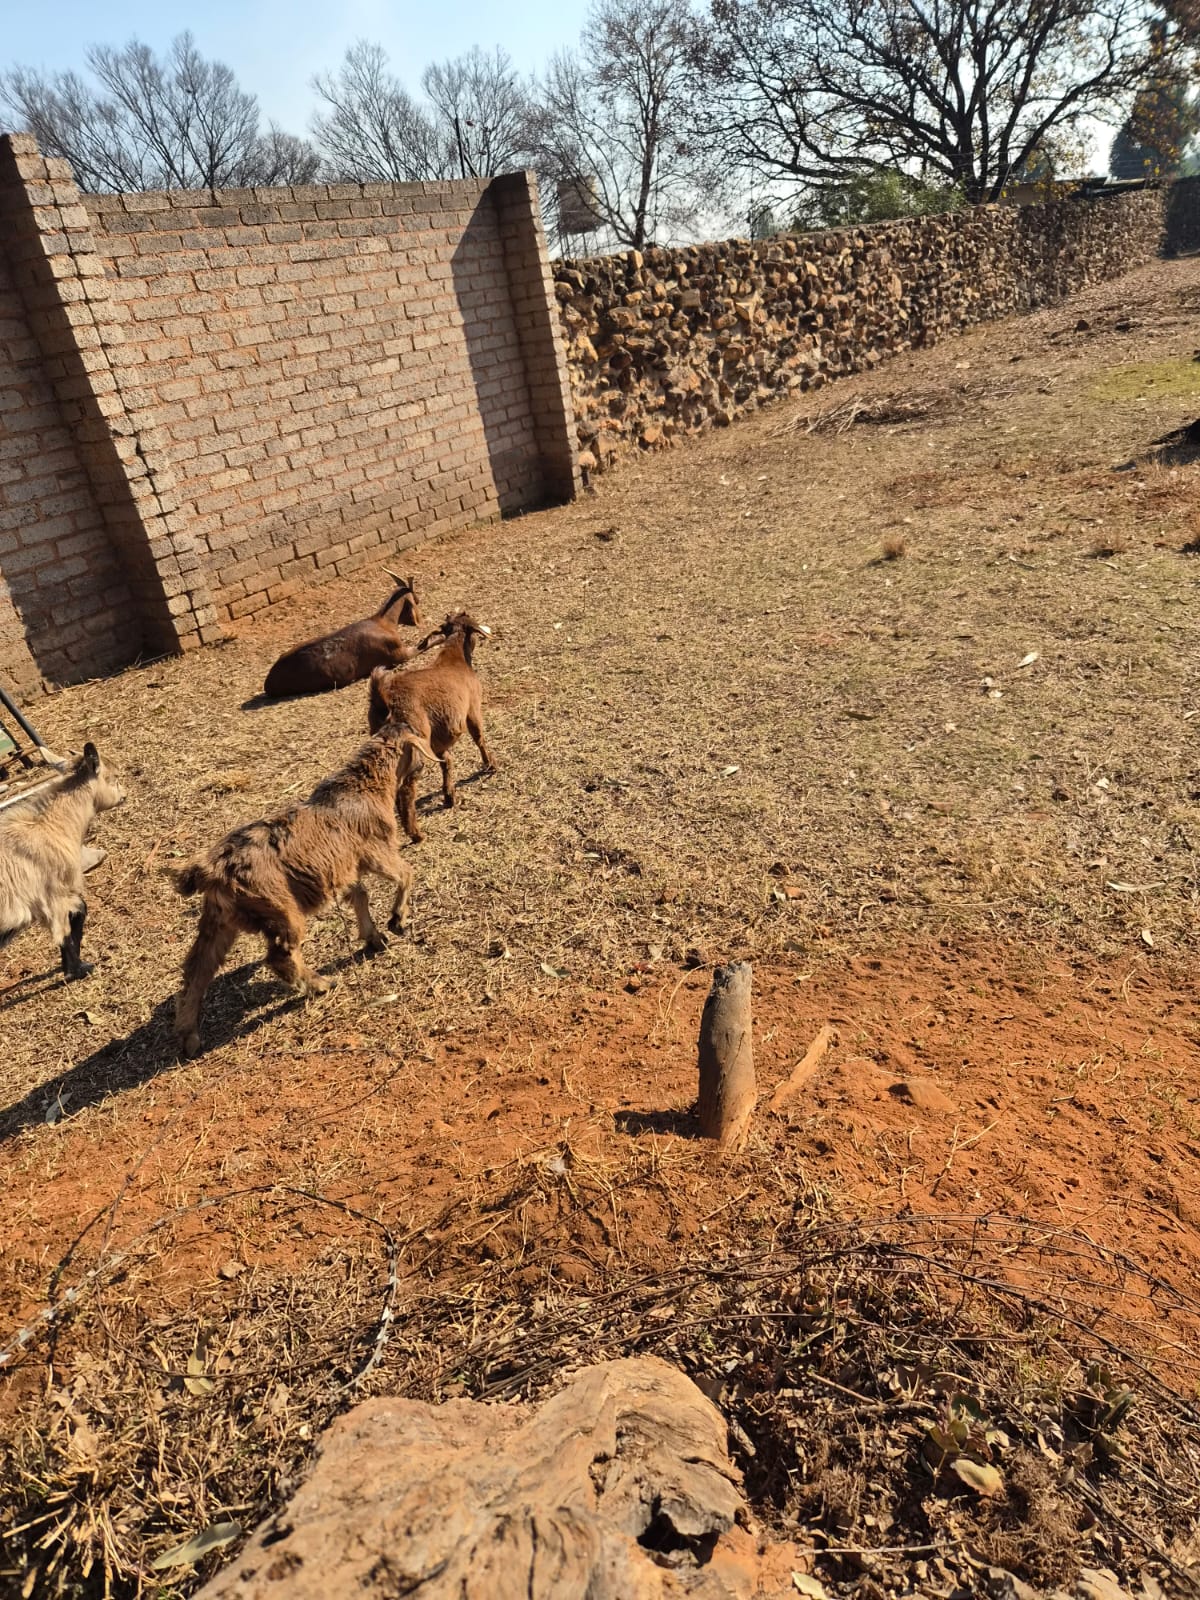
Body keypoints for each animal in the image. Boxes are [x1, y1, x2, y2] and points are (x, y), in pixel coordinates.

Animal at [0, 743, 126, 980]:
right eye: (113, 777)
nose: (124, 794)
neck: (50, 828)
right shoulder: (53, 896)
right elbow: (68, 926)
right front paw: (77, 969)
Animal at [173, 723, 432, 1057]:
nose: (423, 767)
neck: (365, 787)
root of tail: (212, 869)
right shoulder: (376, 852)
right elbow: (405, 873)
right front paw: (397, 920)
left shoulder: (345, 869)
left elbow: (360, 896)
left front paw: (375, 938)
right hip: (281, 910)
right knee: (280, 957)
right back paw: (321, 984)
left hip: (218, 921)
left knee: (196, 970)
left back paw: (189, 1037)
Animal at [367, 611, 496, 844]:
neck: (455, 659)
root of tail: (385, 700)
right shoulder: (472, 709)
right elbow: (479, 737)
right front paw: (491, 765)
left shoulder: (438, 739)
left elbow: (446, 761)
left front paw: (449, 796)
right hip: (412, 746)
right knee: (406, 791)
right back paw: (416, 834)